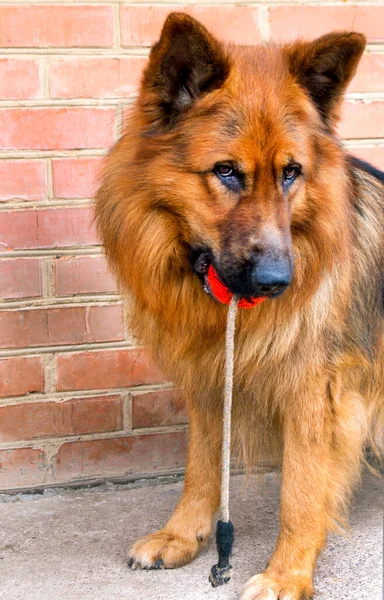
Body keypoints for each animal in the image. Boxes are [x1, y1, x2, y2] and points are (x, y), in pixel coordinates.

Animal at [94, 14, 382, 600]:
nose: (277, 282)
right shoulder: (209, 378)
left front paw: (286, 574)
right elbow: (201, 468)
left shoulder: (316, 391)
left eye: (291, 173)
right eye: (226, 171)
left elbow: (301, 490)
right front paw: (182, 535)